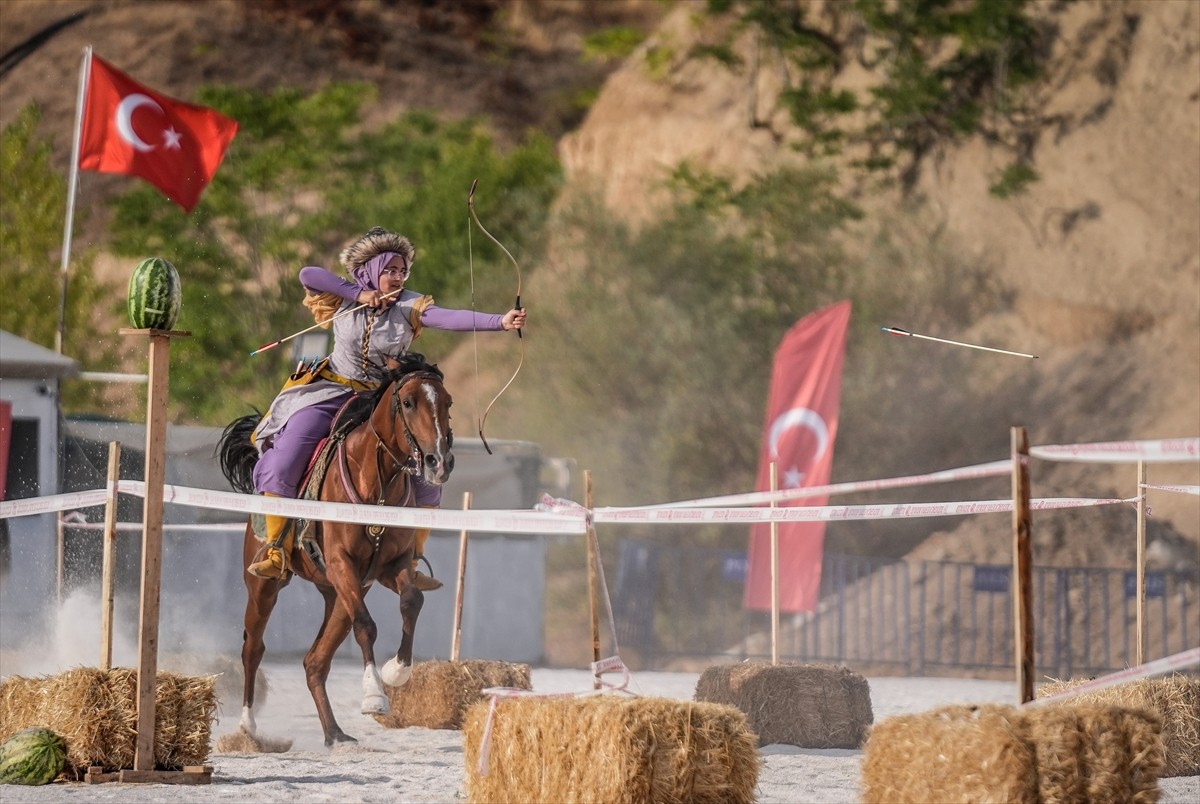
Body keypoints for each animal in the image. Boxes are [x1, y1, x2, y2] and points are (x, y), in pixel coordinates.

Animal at [216, 355, 453, 748]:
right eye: (408, 403)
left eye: (447, 402)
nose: (439, 461)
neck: (376, 483)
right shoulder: (343, 563)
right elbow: (367, 626)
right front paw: (374, 695)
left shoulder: (390, 567)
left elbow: (412, 601)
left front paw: (396, 672)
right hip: (266, 588)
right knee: (253, 648)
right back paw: (248, 728)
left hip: (337, 595)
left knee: (315, 661)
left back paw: (334, 734)